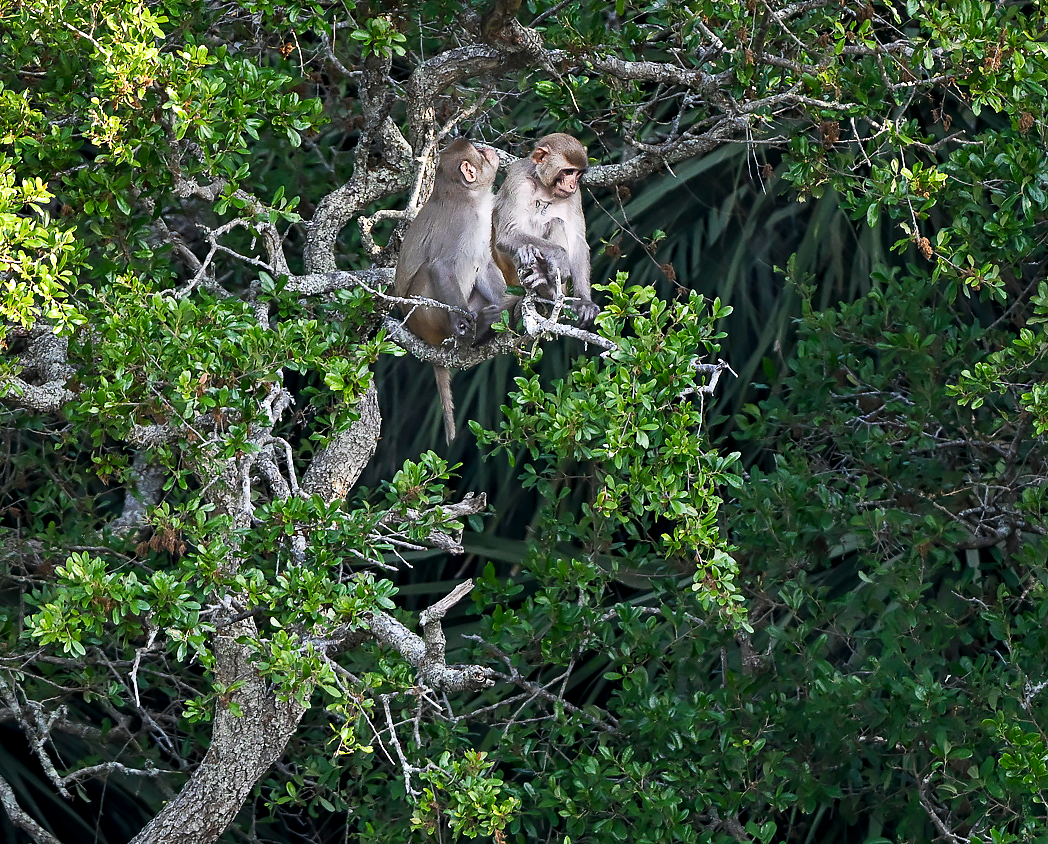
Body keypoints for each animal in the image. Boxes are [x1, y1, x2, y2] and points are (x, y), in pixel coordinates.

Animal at [394, 138, 509, 444]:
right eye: (479, 152)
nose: (488, 150)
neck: (468, 198)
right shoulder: (462, 223)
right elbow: (441, 265)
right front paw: (463, 321)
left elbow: (484, 266)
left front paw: (508, 307)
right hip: (423, 317)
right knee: (428, 273)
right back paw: (468, 332)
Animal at [493, 133, 599, 325]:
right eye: (568, 171)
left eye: (578, 173)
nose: (572, 184)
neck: (544, 185)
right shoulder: (518, 181)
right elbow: (507, 234)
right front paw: (560, 257)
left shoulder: (575, 195)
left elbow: (577, 241)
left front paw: (584, 302)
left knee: (556, 222)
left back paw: (546, 285)